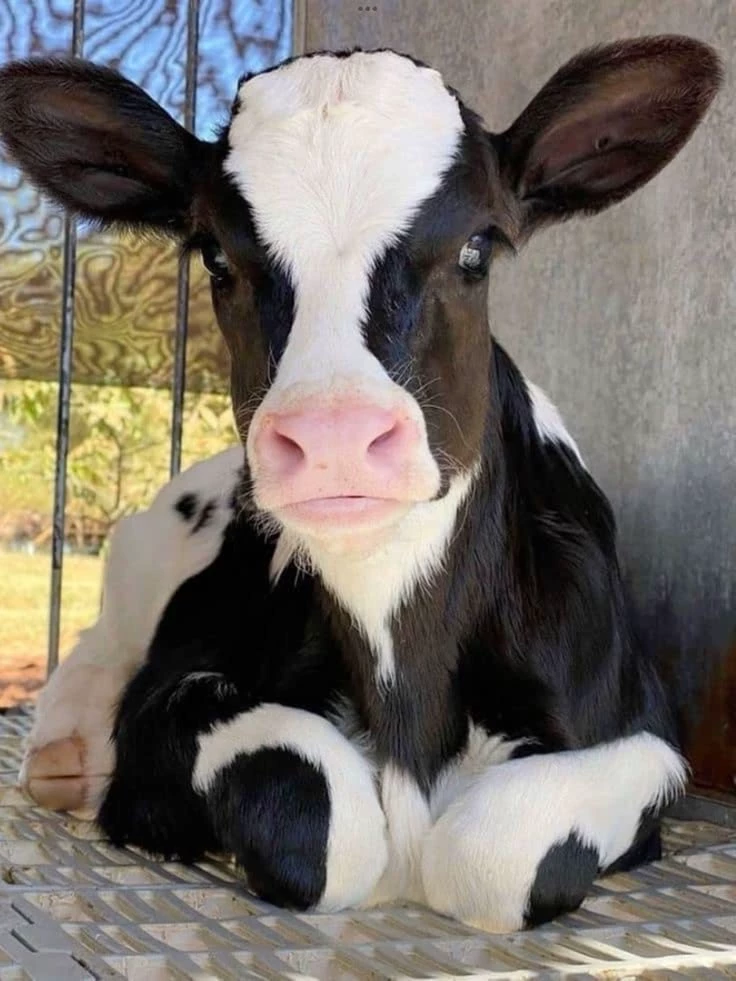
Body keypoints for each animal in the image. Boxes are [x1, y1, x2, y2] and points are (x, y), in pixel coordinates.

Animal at [1, 36, 721, 932]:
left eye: (478, 246)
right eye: (214, 255)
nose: (333, 435)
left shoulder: (644, 734)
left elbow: (487, 848)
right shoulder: (165, 700)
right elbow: (317, 813)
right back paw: (64, 747)